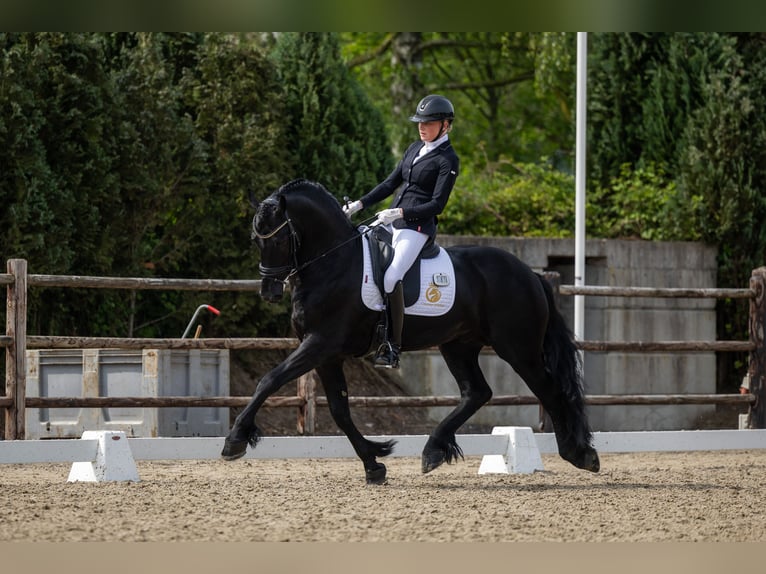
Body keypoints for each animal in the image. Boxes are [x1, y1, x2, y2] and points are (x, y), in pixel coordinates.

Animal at [222, 181, 600, 486]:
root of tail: (529, 273)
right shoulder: (328, 354)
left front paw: (235, 439)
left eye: (279, 237)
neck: (334, 263)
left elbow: (269, 380)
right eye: (255, 239)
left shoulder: (320, 344)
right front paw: (374, 464)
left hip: (518, 348)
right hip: (458, 345)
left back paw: (580, 454)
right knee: (477, 392)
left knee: (550, 391)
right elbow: (340, 411)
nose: (269, 291)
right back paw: (433, 450)